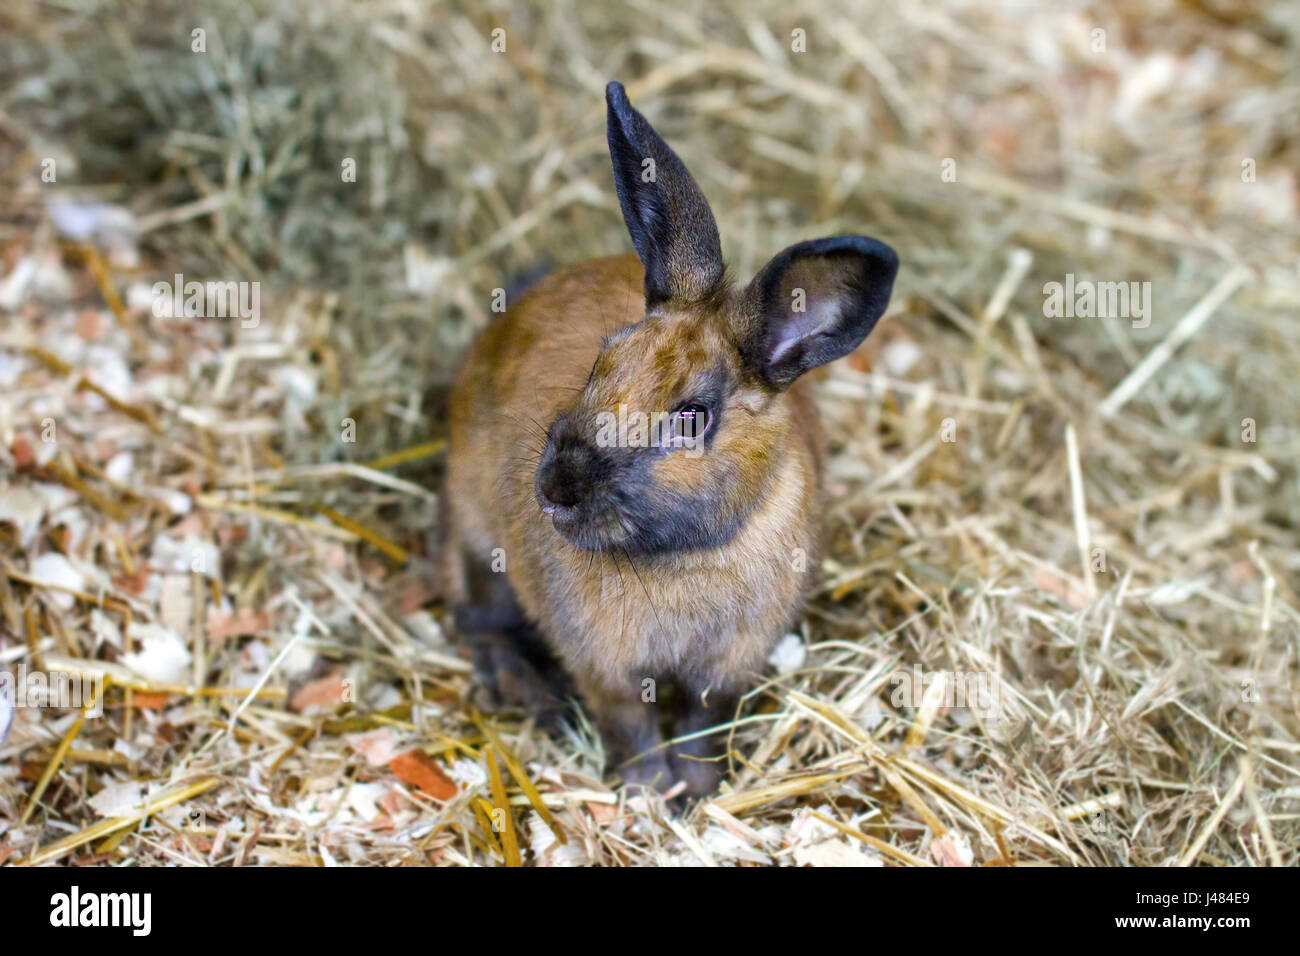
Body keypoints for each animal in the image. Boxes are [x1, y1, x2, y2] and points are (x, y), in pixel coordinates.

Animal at [440, 81, 898, 797]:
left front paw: (698, 792)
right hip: (475, 538)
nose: (557, 488)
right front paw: (648, 793)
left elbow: (701, 727)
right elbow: (629, 727)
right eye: (601, 362)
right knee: (476, 621)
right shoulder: (606, 667)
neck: (685, 555)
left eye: (691, 418)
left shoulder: (727, 669)